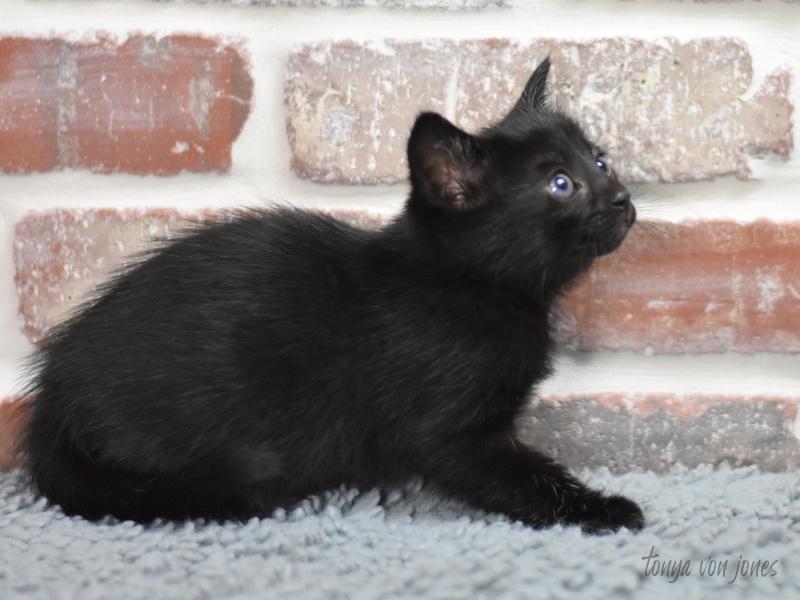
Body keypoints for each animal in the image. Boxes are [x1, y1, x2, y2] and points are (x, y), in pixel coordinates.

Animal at [21, 58, 644, 533]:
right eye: (561, 184)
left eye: (601, 160)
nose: (623, 198)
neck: (462, 284)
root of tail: (52, 400)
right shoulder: (450, 432)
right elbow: (523, 477)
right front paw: (605, 509)